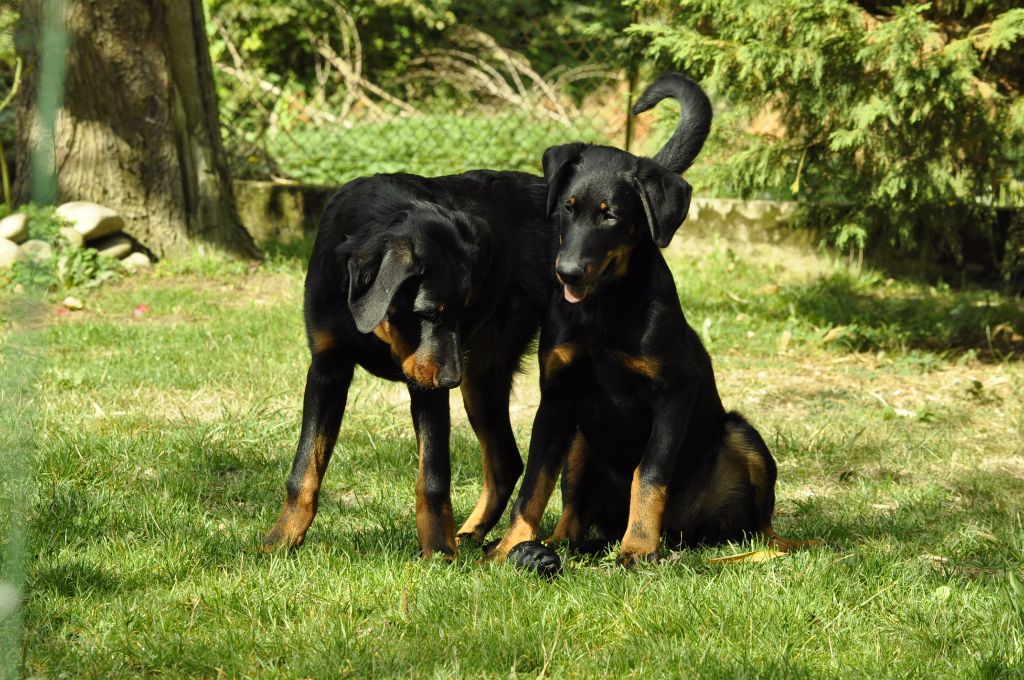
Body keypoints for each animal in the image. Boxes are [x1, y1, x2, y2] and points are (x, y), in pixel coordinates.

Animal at [260, 170, 557, 557]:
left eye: (465, 310)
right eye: (429, 312)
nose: (451, 380)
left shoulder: (427, 385)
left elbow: (433, 477)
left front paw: (439, 552)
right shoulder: (328, 368)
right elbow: (305, 466)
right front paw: (280, 540)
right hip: (482, 374)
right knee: (505, 460)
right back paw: (471, 534)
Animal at [485, 74, 815, 573]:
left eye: (611, 215)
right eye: (567, 207)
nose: (566, 272)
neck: (604, 309)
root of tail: (686, 534)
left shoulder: (673, 394)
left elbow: (650, 472)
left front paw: (637, 548)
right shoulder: (557, 398)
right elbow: (535, 482)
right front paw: (509, 547)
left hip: (743, 435)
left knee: (761, 525)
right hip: (580, 439)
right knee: (574, 514)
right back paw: (560, 544)